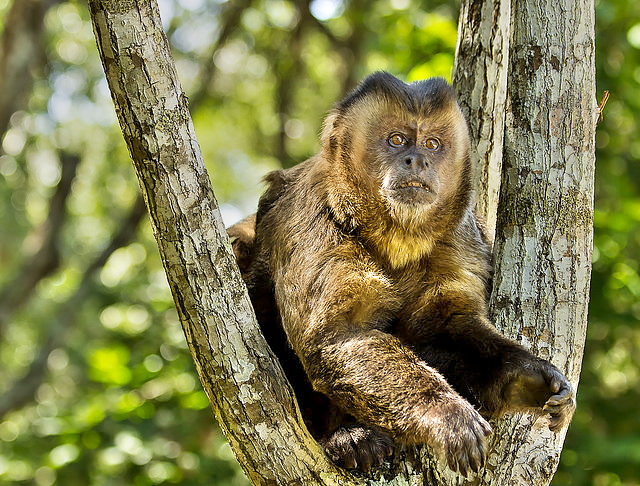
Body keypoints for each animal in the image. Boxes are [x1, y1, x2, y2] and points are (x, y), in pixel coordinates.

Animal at [228, 72, 576, 474]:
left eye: (432, 143)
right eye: (397, 140)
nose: (417, 160)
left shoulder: (457, 235)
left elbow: (443, 327)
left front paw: (528, 380)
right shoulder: (312, 212)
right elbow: (340, 335)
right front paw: (446, 415)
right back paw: (346, 437)